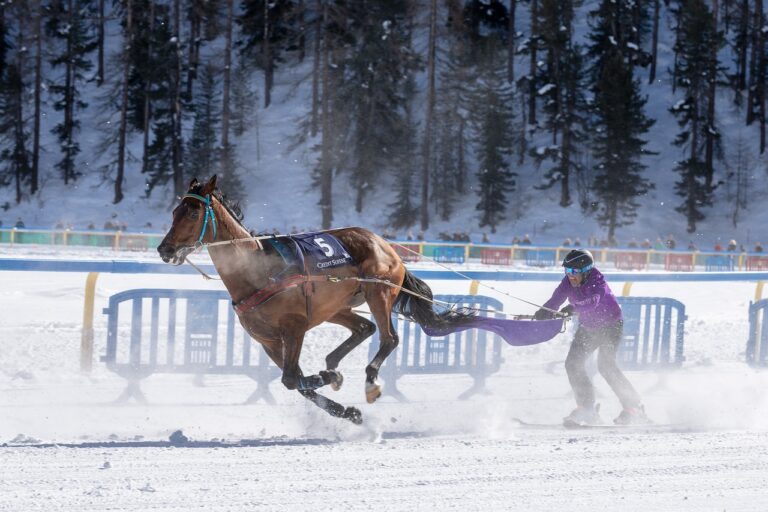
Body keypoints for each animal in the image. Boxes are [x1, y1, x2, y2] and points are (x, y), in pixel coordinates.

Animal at [156, 176, 474, 424]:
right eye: (174, 211)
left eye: (193, 213)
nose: (165, 249)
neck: (258, 269)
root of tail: (387, 246)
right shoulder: (269, 341)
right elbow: (297, 384)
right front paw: (346, 410)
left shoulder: (294, 328)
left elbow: (290, 379)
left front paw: (333, 380)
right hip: (336, 307)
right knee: (364, 328)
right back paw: (332, 364)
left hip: (379, 293)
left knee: (388, 338)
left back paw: (368, 380)